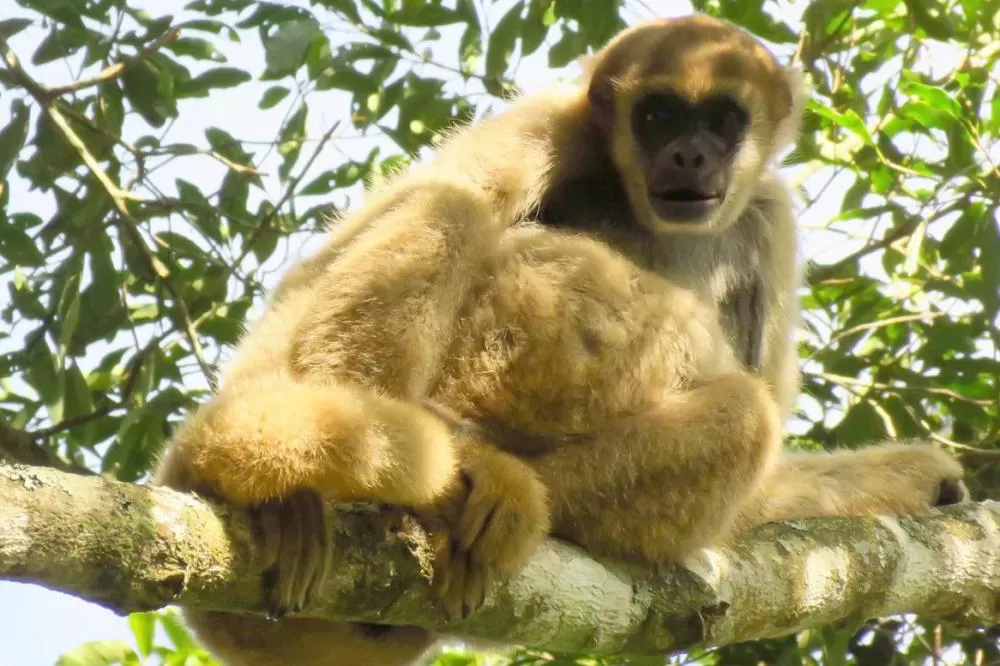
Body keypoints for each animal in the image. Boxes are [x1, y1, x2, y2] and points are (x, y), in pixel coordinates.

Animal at [154, 14, 968, 666]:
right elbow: (348, 247)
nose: (691, 155)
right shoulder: (553, 124)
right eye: (658, 116)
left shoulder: (769, 218)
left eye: (722, 121)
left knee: (743, 413)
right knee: (452, 206)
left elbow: (759, 474)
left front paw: (921, 482)